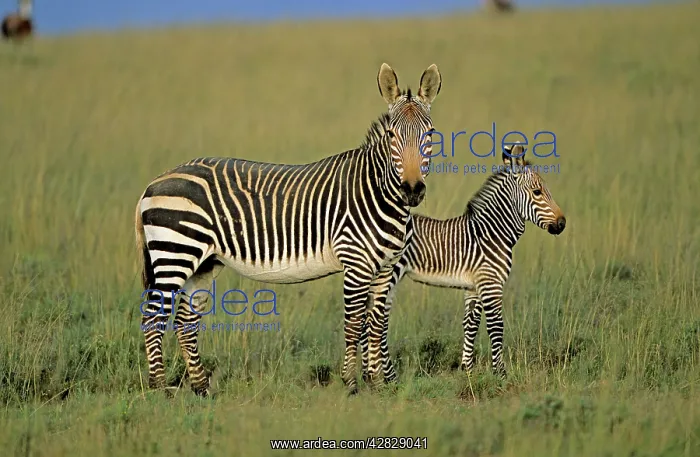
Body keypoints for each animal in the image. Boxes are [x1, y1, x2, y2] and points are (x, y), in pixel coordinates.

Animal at [134, 63, 442, 396]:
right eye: (391, 135)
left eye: (430, 134)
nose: (412, 190)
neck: (378, 192)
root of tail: (154, 182)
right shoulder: (356, 263)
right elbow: (354, 324)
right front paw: (351, 383)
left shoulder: (385, 267)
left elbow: (376, 324)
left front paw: (379, 383)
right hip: (175, 254)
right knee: (153, 318)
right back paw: (160, 389)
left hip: (202, 263)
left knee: (185, 321)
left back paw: (202, 388)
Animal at [360, 142, 566, 383]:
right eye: (537, 192)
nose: (562, 223)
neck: (491, 233)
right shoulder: (490, 284)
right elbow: (496, 327)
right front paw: (501, 374)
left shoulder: (474, 286)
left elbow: (471, 324)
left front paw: (467, 369)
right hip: (389, 275)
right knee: (376, 321)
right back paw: (385, 376)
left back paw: (372, 374)